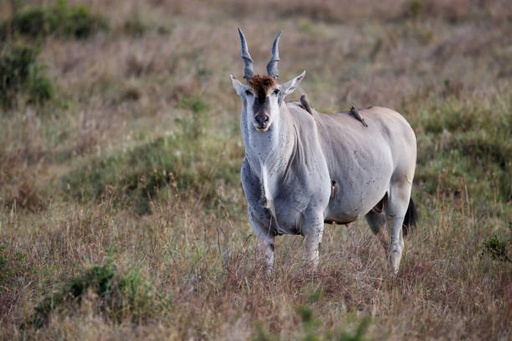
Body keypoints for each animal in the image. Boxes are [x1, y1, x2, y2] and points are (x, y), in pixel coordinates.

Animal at [230, 28, 418, 274]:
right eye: (248, 92)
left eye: (276, 91)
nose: (262, 119)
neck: (272, 167)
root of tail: (401, 121)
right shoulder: (261, 226)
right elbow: (266, 267)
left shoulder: (313, 222)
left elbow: (310, 266)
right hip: (373, 210)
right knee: (386, 244)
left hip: (398, 199)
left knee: (396, 244)